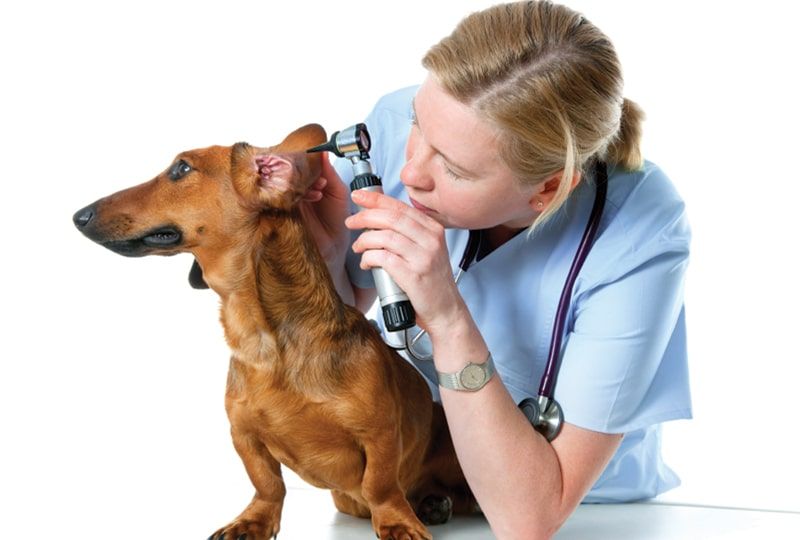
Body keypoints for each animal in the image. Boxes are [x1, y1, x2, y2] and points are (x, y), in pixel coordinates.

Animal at [72, 124, 476, 536]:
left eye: (181, 169)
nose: (79, 216)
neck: (266, 343)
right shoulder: (243, 435)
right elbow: (267, 484)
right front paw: (252, 521)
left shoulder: (379, 433)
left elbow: (380, 484)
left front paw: (397, 522)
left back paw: (433, 503)